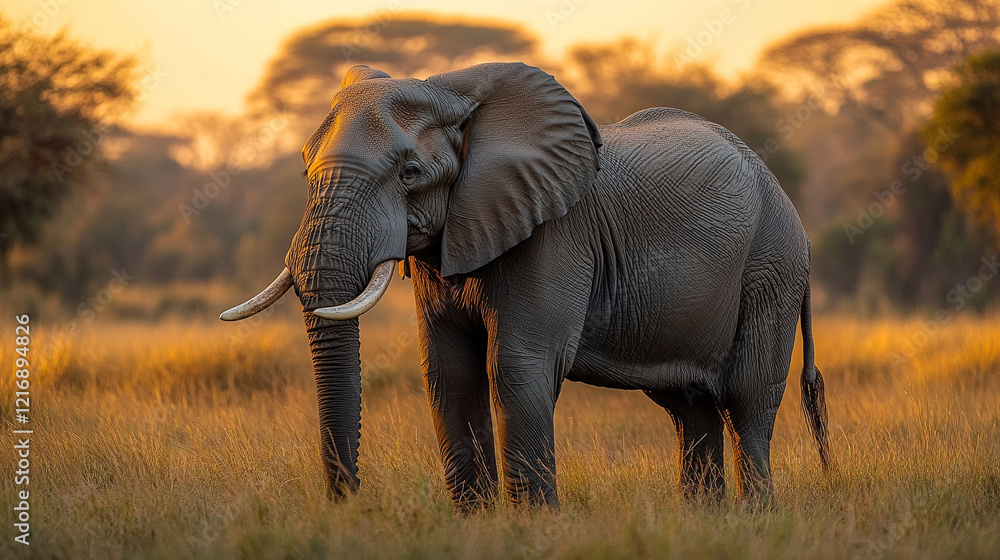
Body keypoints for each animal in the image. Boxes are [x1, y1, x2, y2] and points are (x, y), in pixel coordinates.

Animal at [221, 62, 830, 510]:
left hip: (770, 267)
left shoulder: (554, 233)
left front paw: (535, 523)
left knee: (745, 401)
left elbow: (515, 366)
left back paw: (754, 518)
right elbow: (447, 372)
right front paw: (476, 521)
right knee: (688, 406)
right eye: (304, 167)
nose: (351, 501)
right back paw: (703, 520)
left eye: (410, 174)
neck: (452, 89)